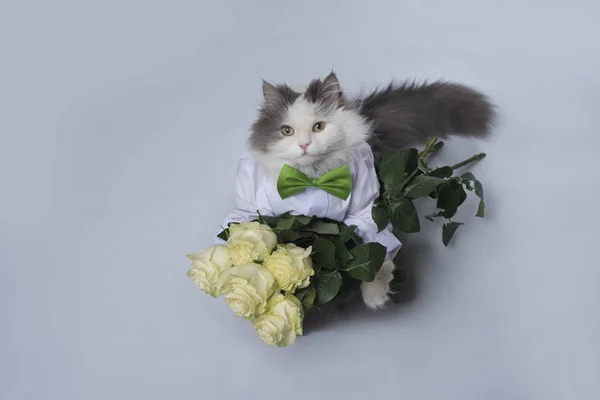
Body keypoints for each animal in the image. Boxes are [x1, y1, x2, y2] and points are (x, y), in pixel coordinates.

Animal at [246, 72, 494, 310]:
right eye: (287, 131)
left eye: (319, 127)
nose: (304, 145)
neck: (314, 179)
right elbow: (254, 234)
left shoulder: (366, 210)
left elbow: (376, 248)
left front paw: (375, 293)